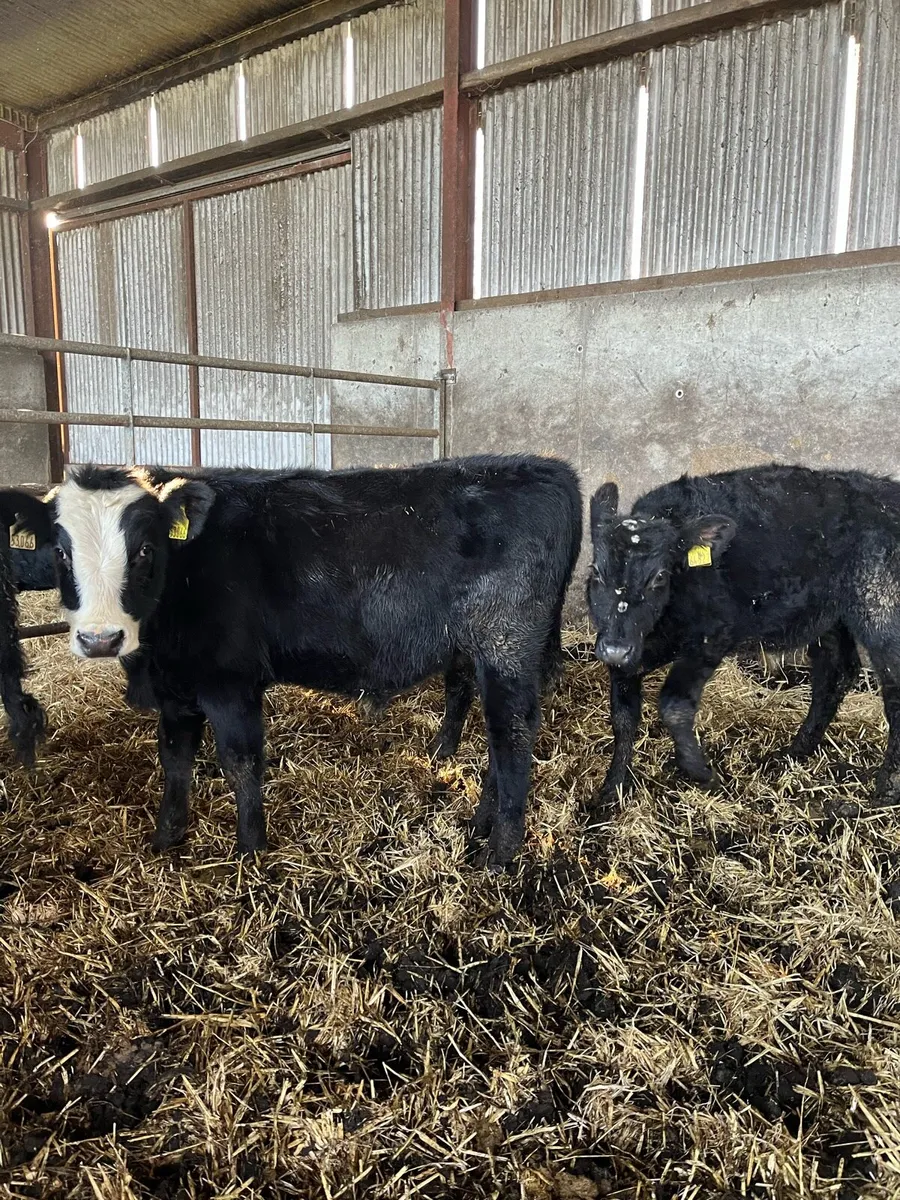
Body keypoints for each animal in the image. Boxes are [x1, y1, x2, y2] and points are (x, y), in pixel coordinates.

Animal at [1, 455, 581, 866]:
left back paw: (498, 853)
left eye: (144, 548)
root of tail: (548, 468)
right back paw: (480, 822)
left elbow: (240, 762)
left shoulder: (229, 681)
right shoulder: (176, 688)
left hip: (507, 648)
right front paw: (167, 839)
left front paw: (249, 850)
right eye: (61, 552)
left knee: (512, 736)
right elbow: (175, 760)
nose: (101, 639)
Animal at [587, 464, 900, 809]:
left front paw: (702, 774)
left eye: (659, 577)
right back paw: (794, 753)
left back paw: (885, 790)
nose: (615, 649)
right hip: (828, 615)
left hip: (881, 610)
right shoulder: (625, 651)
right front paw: (612, 790)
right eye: (596, 571)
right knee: (835, 672)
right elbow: (623, 716)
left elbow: (673, 705)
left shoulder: (713, 637)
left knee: (893, 690)